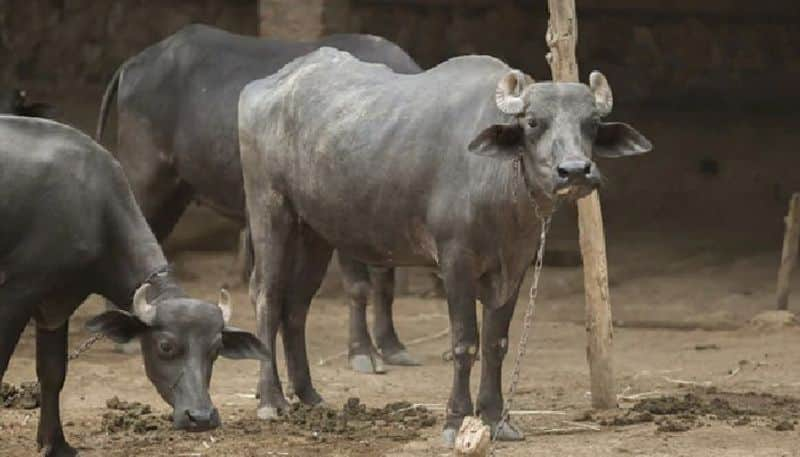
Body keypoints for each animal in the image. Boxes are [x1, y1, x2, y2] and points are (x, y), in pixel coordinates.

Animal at [0, 116, 268, 454]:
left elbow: (53, 372)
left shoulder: (57, 305)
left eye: (216, 349)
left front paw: (55, 443)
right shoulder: (16, 295)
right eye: (165, 346)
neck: (91, 208)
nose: (202, 417)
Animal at [97, 25, 424, 372]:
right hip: (145, 179)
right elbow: (360, 286)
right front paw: (362, 352)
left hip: (175, 192)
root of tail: (135, 63)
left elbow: (385, 283)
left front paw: (392, 346)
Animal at [241, 48, 652, 444]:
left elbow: (496, 342)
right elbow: (465, 342)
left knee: (296, 306)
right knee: (267, 296)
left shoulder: (514, 266)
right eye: (533, 122)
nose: (576, 171)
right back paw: (271, 399)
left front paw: (496, 418)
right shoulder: (455, 261)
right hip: (270, 210)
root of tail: (263, 89)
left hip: (314, 231)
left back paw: (308, 395)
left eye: (592, 123)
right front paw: (456, 419)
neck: (501, 189)